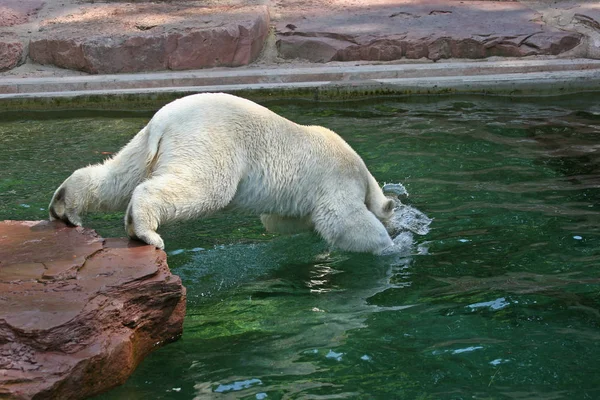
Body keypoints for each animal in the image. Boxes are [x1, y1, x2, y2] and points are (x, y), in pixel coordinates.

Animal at [49, 94, 396, 253]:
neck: (363, 173)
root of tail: (163, 121)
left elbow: (279, 220)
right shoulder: (337, 180)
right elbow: (343, 220)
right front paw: (390, 244)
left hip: (144, 145)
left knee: (118, 178)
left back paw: (65, 205)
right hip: (209, 143)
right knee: (203, 189)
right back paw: (145, 232)